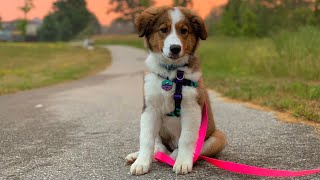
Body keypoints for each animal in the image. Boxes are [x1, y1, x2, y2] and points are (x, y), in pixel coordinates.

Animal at [126, 6, 226, 175]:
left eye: (184, 31)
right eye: (163, 29)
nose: (175, 48)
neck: (171, 73)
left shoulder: (192, 108)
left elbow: (186, 139)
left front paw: (182, 162)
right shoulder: (150, 109)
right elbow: (146, 139)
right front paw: (141, 162)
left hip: (218, 137)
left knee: (180, 150)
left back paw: (174, 157)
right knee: (159, 148)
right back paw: (140, 156)